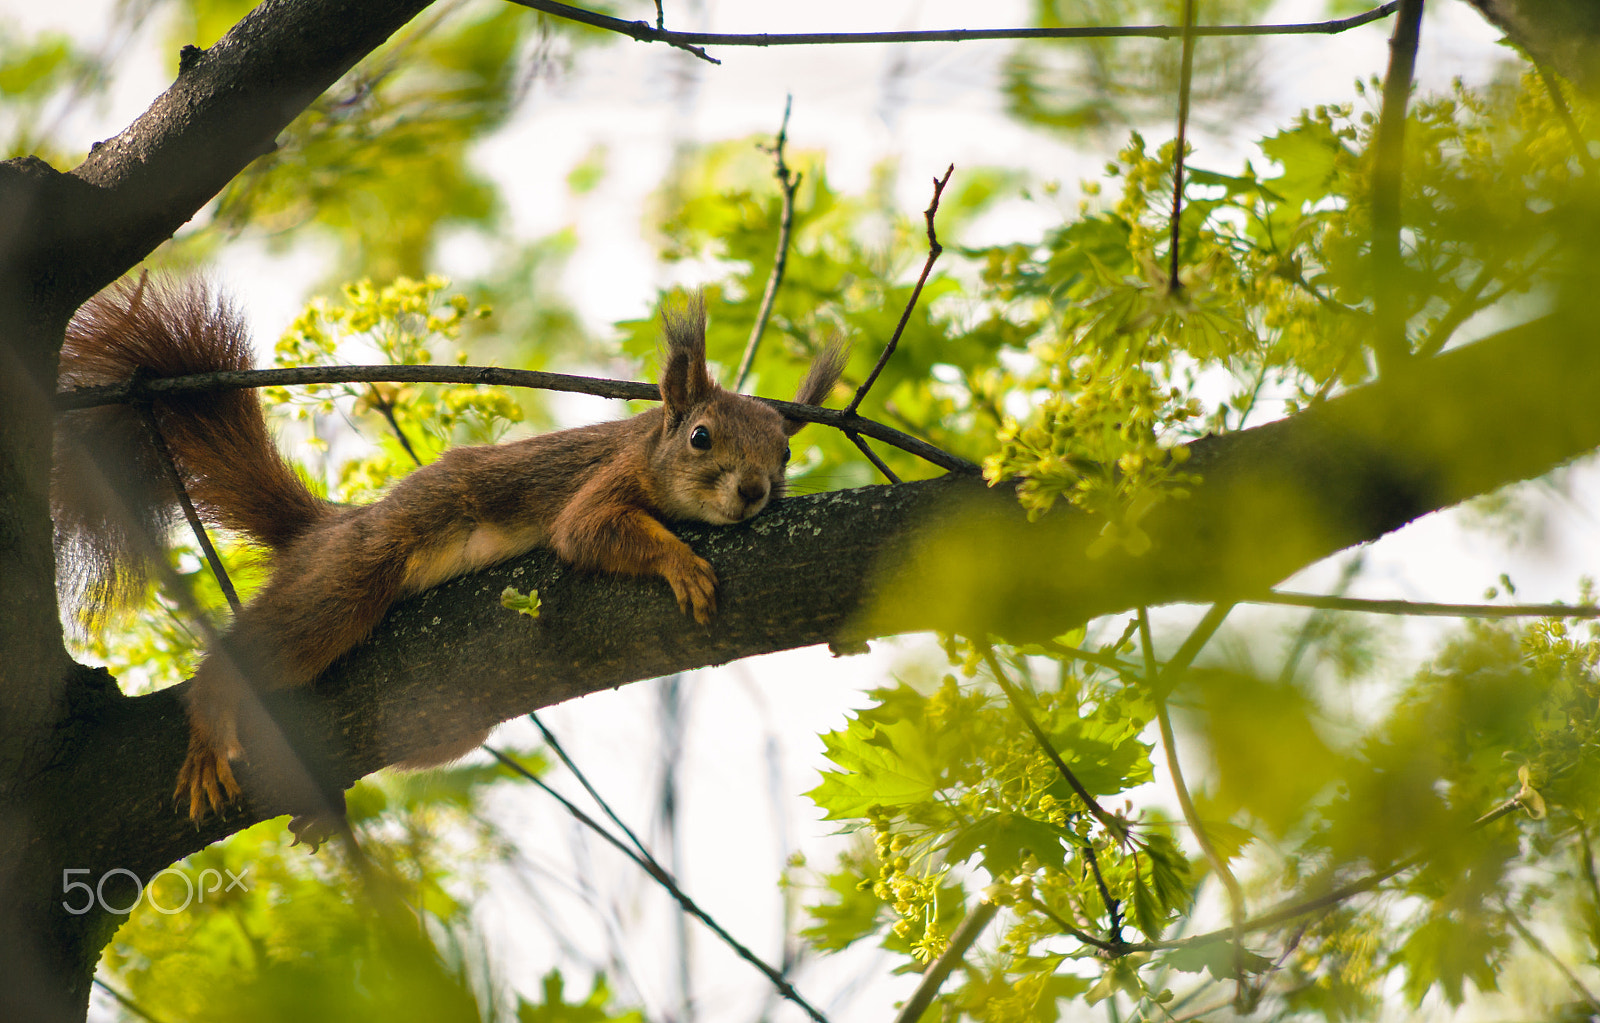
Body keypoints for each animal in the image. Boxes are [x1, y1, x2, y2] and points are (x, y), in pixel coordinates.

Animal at [54, 278, 844, 826]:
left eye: (785, 452)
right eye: (701, 437)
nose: (753, 491)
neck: (650, 445)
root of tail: (328, 527)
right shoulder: (602, 483)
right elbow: (586, 531)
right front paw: (683, 564)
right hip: (347, 578)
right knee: (258, 649)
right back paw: (213, 720)